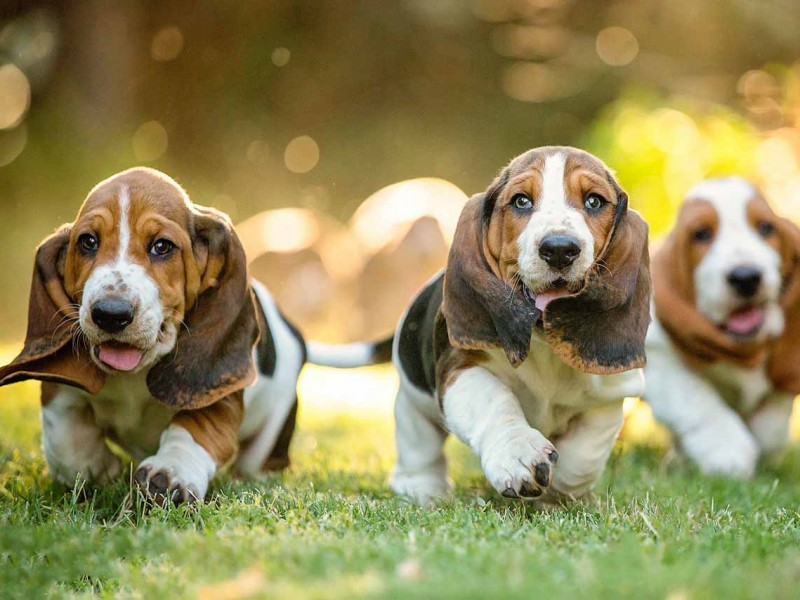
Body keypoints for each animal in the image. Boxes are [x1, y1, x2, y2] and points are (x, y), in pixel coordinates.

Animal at [0, 168, 388, 502]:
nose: (110, 314)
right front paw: (96, 468)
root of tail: (297, 335)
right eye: (88, 242)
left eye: (162, 247)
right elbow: (65, 434)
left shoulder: (218, 394)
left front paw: (171, 472)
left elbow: (194, 430)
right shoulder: (60, 391)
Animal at [384, 148, 652, 504]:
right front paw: (519, 455)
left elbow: (585, 454)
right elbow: (496, 402)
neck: (544, 340)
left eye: (594, 201)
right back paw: (422, 488)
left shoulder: (609, 396)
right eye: (521, 201)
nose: (559, 249)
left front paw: (560, 488)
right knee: (418, 442)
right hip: (412, 401)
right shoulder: (462, 368)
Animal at [644, 177, 800, 478]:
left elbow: (773, 421)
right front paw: (728, 454)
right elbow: (699, 402)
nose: (746, 277)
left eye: (766, 228)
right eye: (701, 234)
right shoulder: (659, 364)